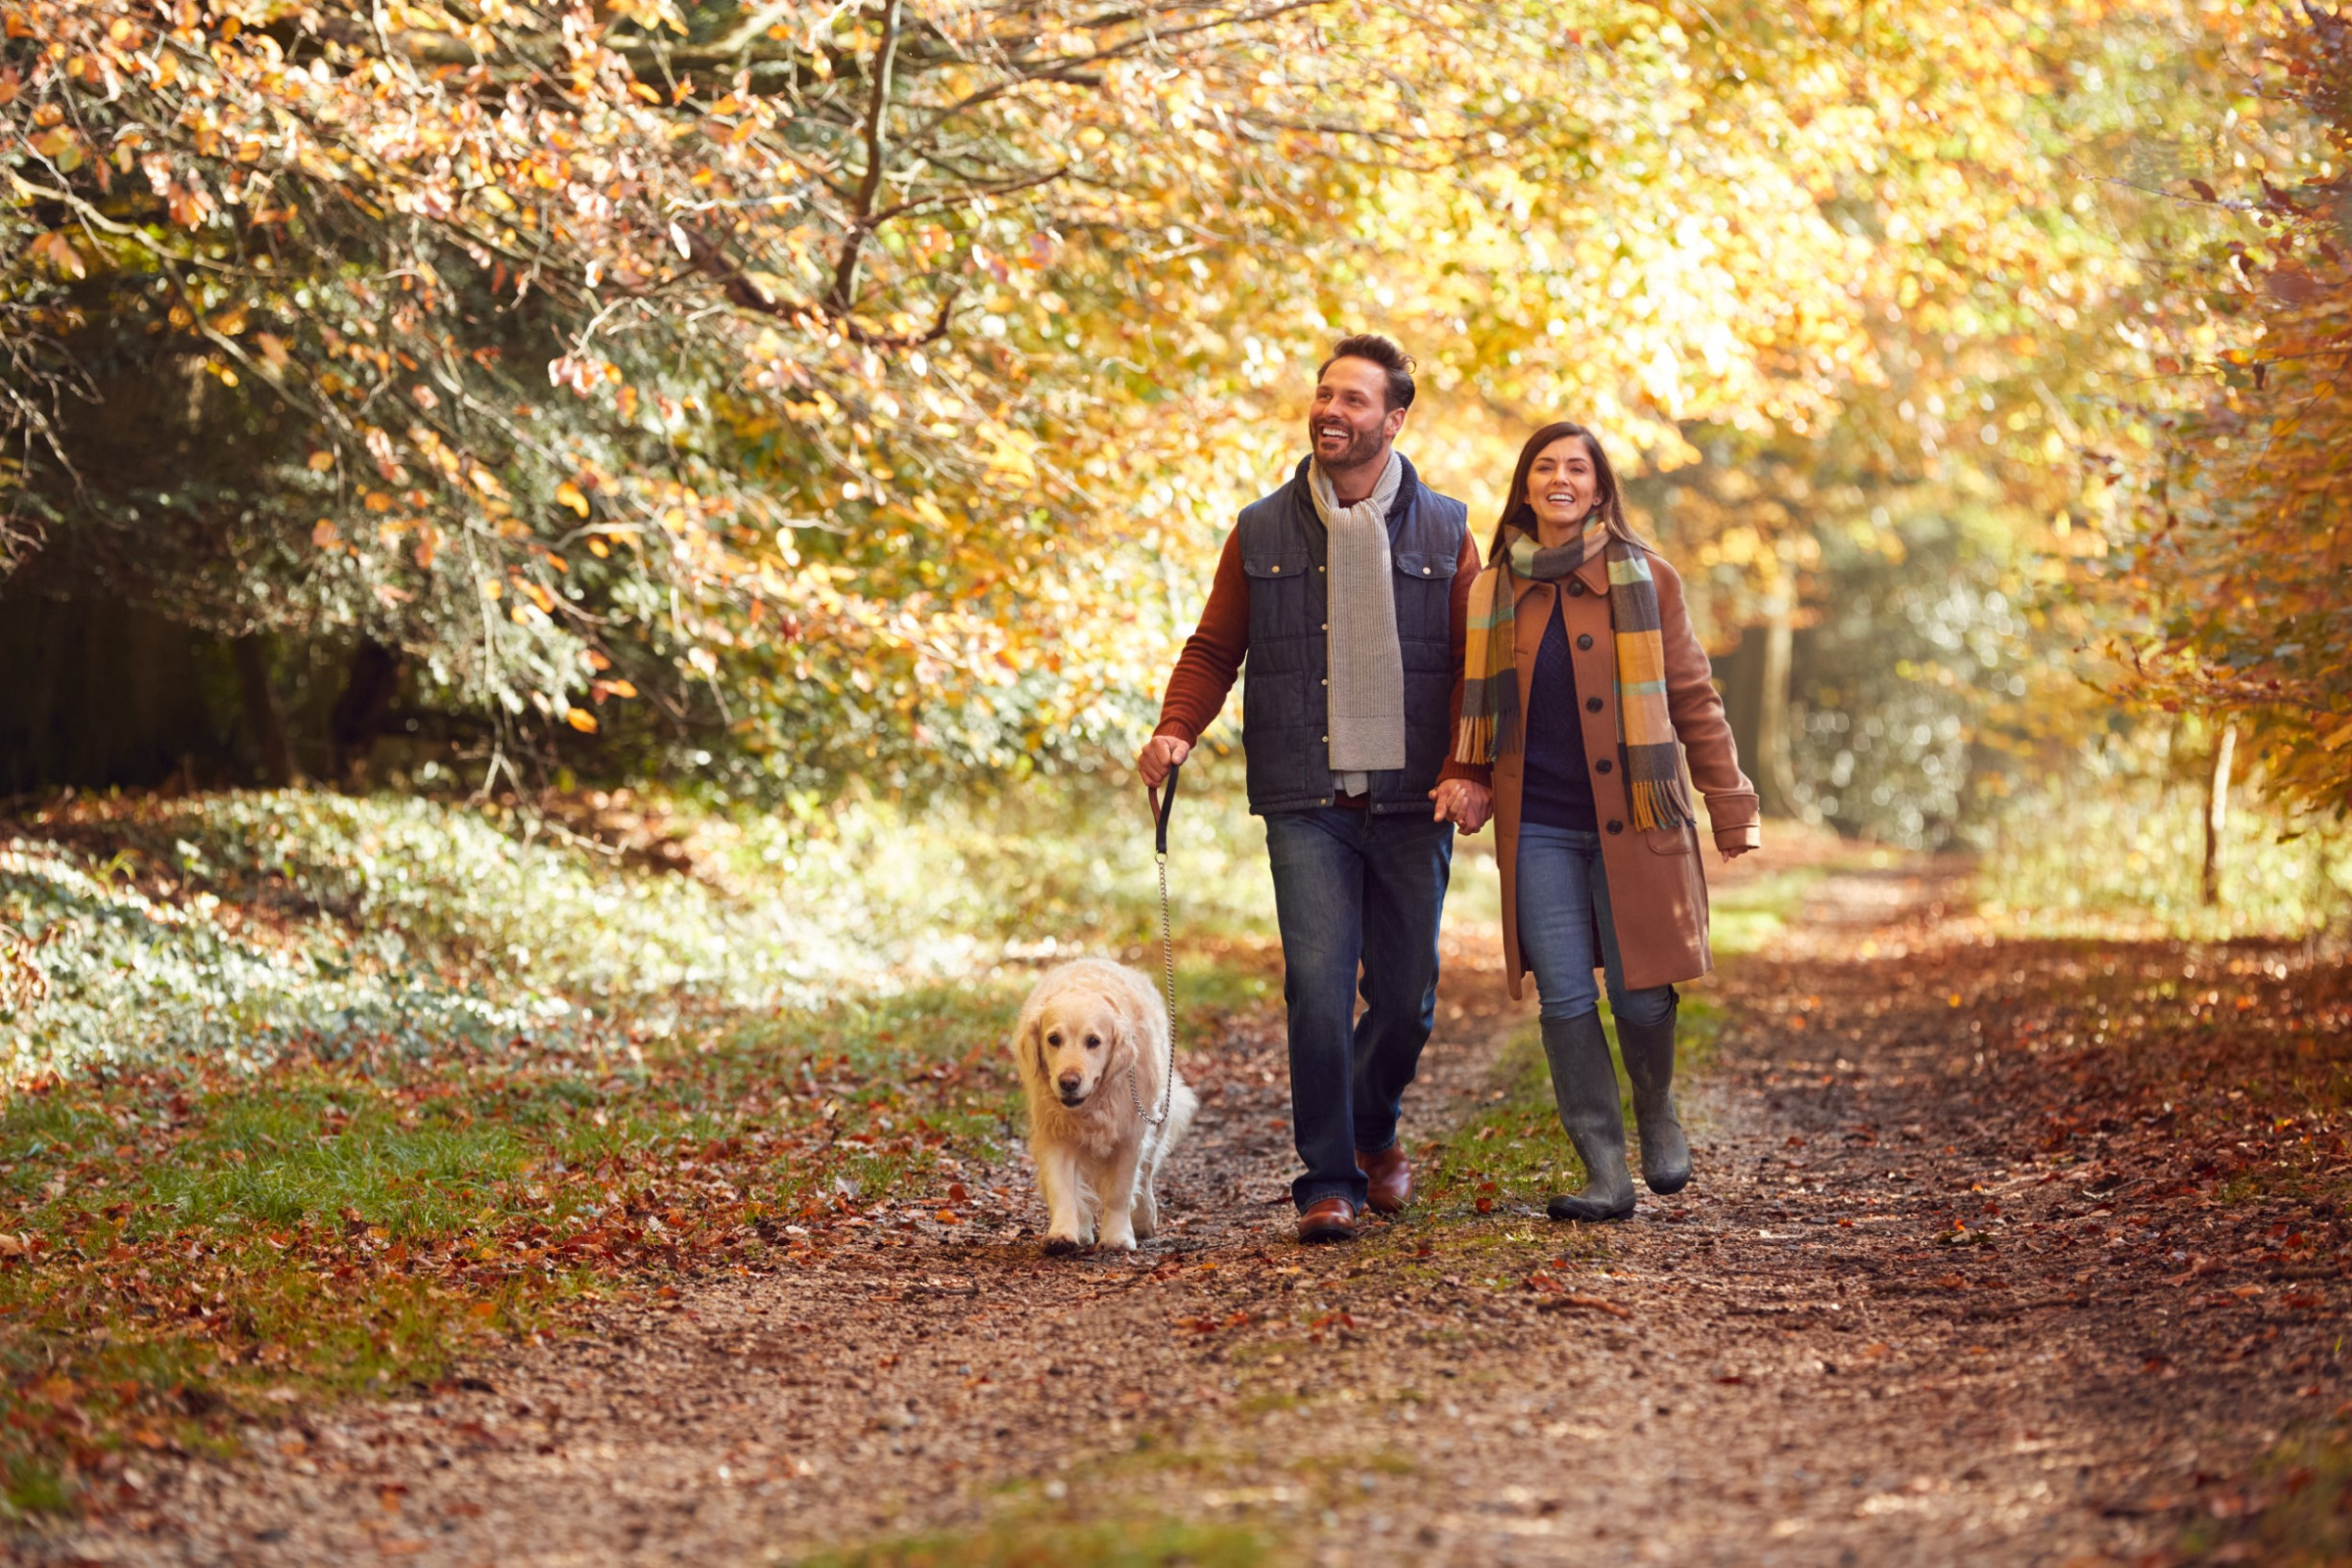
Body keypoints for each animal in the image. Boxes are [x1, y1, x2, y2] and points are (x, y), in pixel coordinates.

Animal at [1006, 959, 1194, 1250]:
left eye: (1093, 1041)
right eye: (1053, 1039)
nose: (1068, 1082)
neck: (1094, 1102)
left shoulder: (1131, 1135)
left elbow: (1120, 1191)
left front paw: (1118, 1237)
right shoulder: (1055, 1134)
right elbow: (1062, 1189)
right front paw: (1062, 1234)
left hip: (1160, 1119)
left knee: (1147, 1175)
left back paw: (1144, 1219)